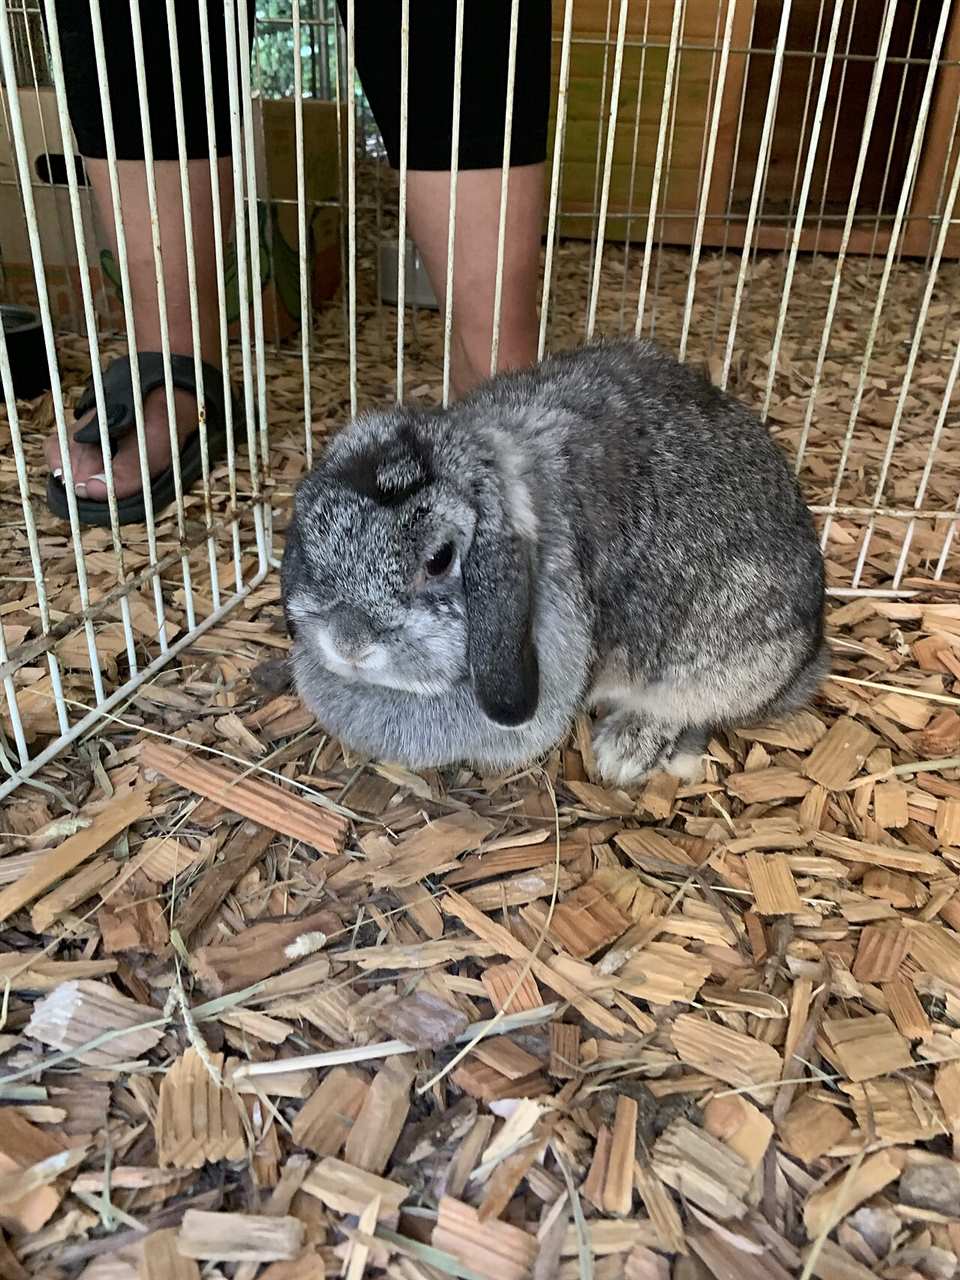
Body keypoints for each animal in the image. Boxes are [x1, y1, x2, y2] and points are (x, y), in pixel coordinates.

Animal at [281, 338, 827, 788]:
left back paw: (623, 750)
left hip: (719, 662)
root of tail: (812, 650)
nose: (348, 641)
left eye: (439, 559)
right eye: (313, 528)